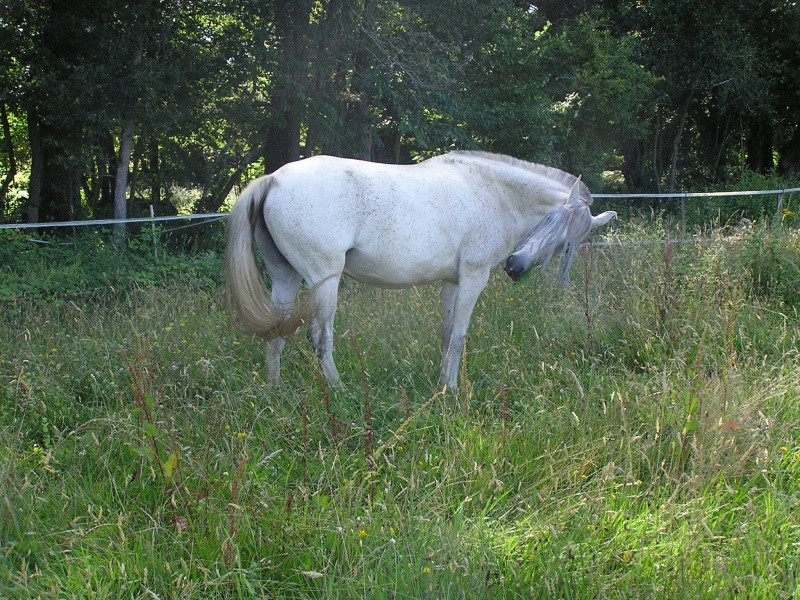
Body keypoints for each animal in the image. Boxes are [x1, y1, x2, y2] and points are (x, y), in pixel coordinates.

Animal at [227, 151, 620, 390]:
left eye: (567, 246)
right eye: (552, 221)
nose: (515, 267)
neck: (492, 190)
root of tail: (274, 179)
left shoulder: (452, 282)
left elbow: (446, 335)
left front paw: (441, 383)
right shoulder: (474, 277)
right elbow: (459, 335)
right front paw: (453, 388)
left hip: (285, 278)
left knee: (276, 334)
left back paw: (276, 391)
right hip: (324, 281)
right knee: (319, 338)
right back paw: (338, 391)